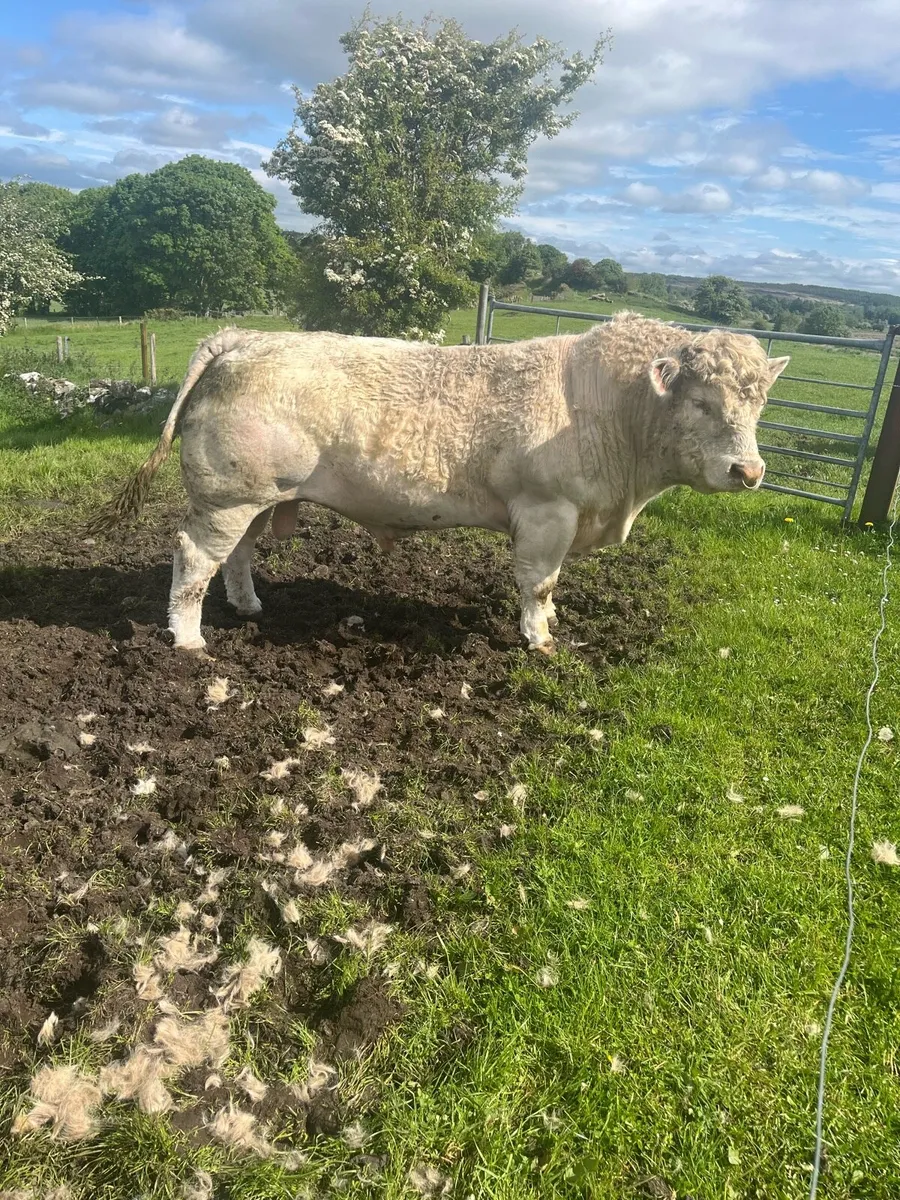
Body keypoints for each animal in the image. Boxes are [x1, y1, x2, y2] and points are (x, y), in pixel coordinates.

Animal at [88, 313, 788, 655]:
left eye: (759, 404)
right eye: (701, 402)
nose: (749, 472)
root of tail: (243, 338)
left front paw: (549, 623)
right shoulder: (547, 510)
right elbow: (540, 581)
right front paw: (540, 639)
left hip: (259, 497)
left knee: (237, 556)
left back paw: (249, 607)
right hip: (226, 497)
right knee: (193, 558)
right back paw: (188, 639)